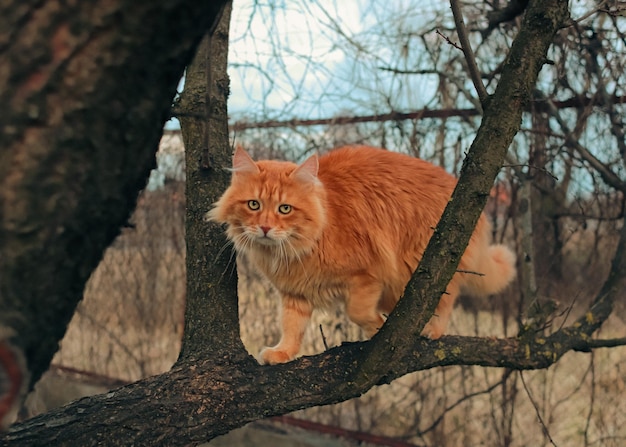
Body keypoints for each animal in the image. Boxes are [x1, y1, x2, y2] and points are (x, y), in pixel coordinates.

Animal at [207, 146, 516, 364]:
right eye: (254, 205)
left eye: (285, 209)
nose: (265, 228)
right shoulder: (295, 294)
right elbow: (292, 326)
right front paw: (283, 353)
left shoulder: (368, 273)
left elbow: (356, 311)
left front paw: (377, 328)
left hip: (424, 268)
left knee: (445, 299)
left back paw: (431, 329)